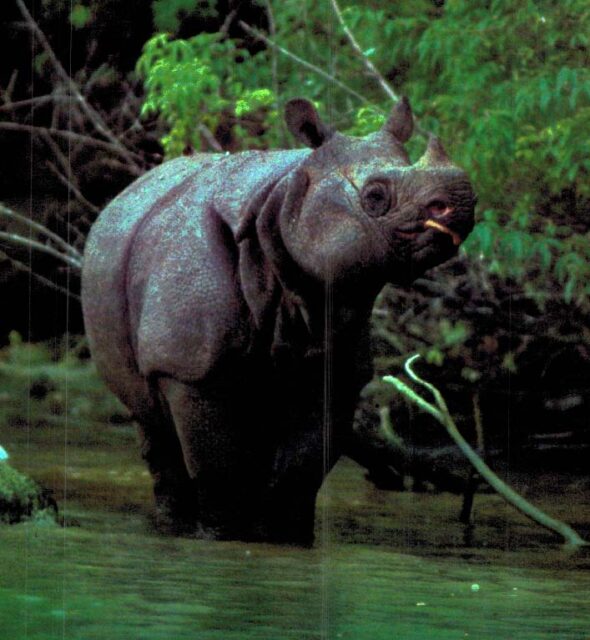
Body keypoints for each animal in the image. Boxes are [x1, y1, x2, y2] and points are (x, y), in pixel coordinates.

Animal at [81, 98, 476, 544]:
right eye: (375, 196)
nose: (462, 202)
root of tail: (125, 194)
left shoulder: (337, 368)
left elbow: (298, 474)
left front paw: (284, 539)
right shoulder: (188, 367)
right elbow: (219, 474)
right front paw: (221, 536)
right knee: (154, 429)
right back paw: (173, 527)